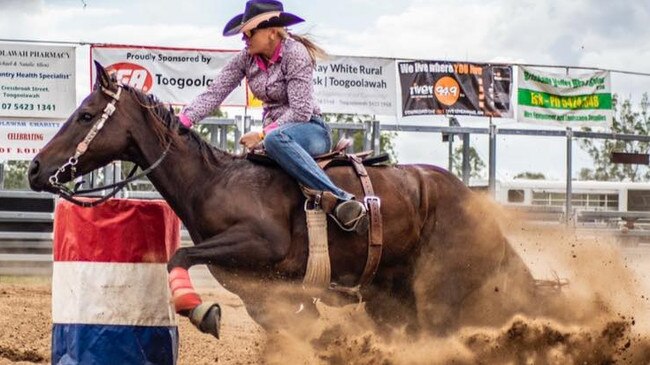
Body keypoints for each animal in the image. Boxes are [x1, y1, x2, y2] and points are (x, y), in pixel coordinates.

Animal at [29, 63, 536, 338]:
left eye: (86, 115)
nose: (35, 169)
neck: (214, 182)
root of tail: (474, 205)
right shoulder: (264, 293)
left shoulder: (260, 243)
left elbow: (180, 254)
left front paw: (202, 310)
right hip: (390, 294)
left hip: (441, 291)